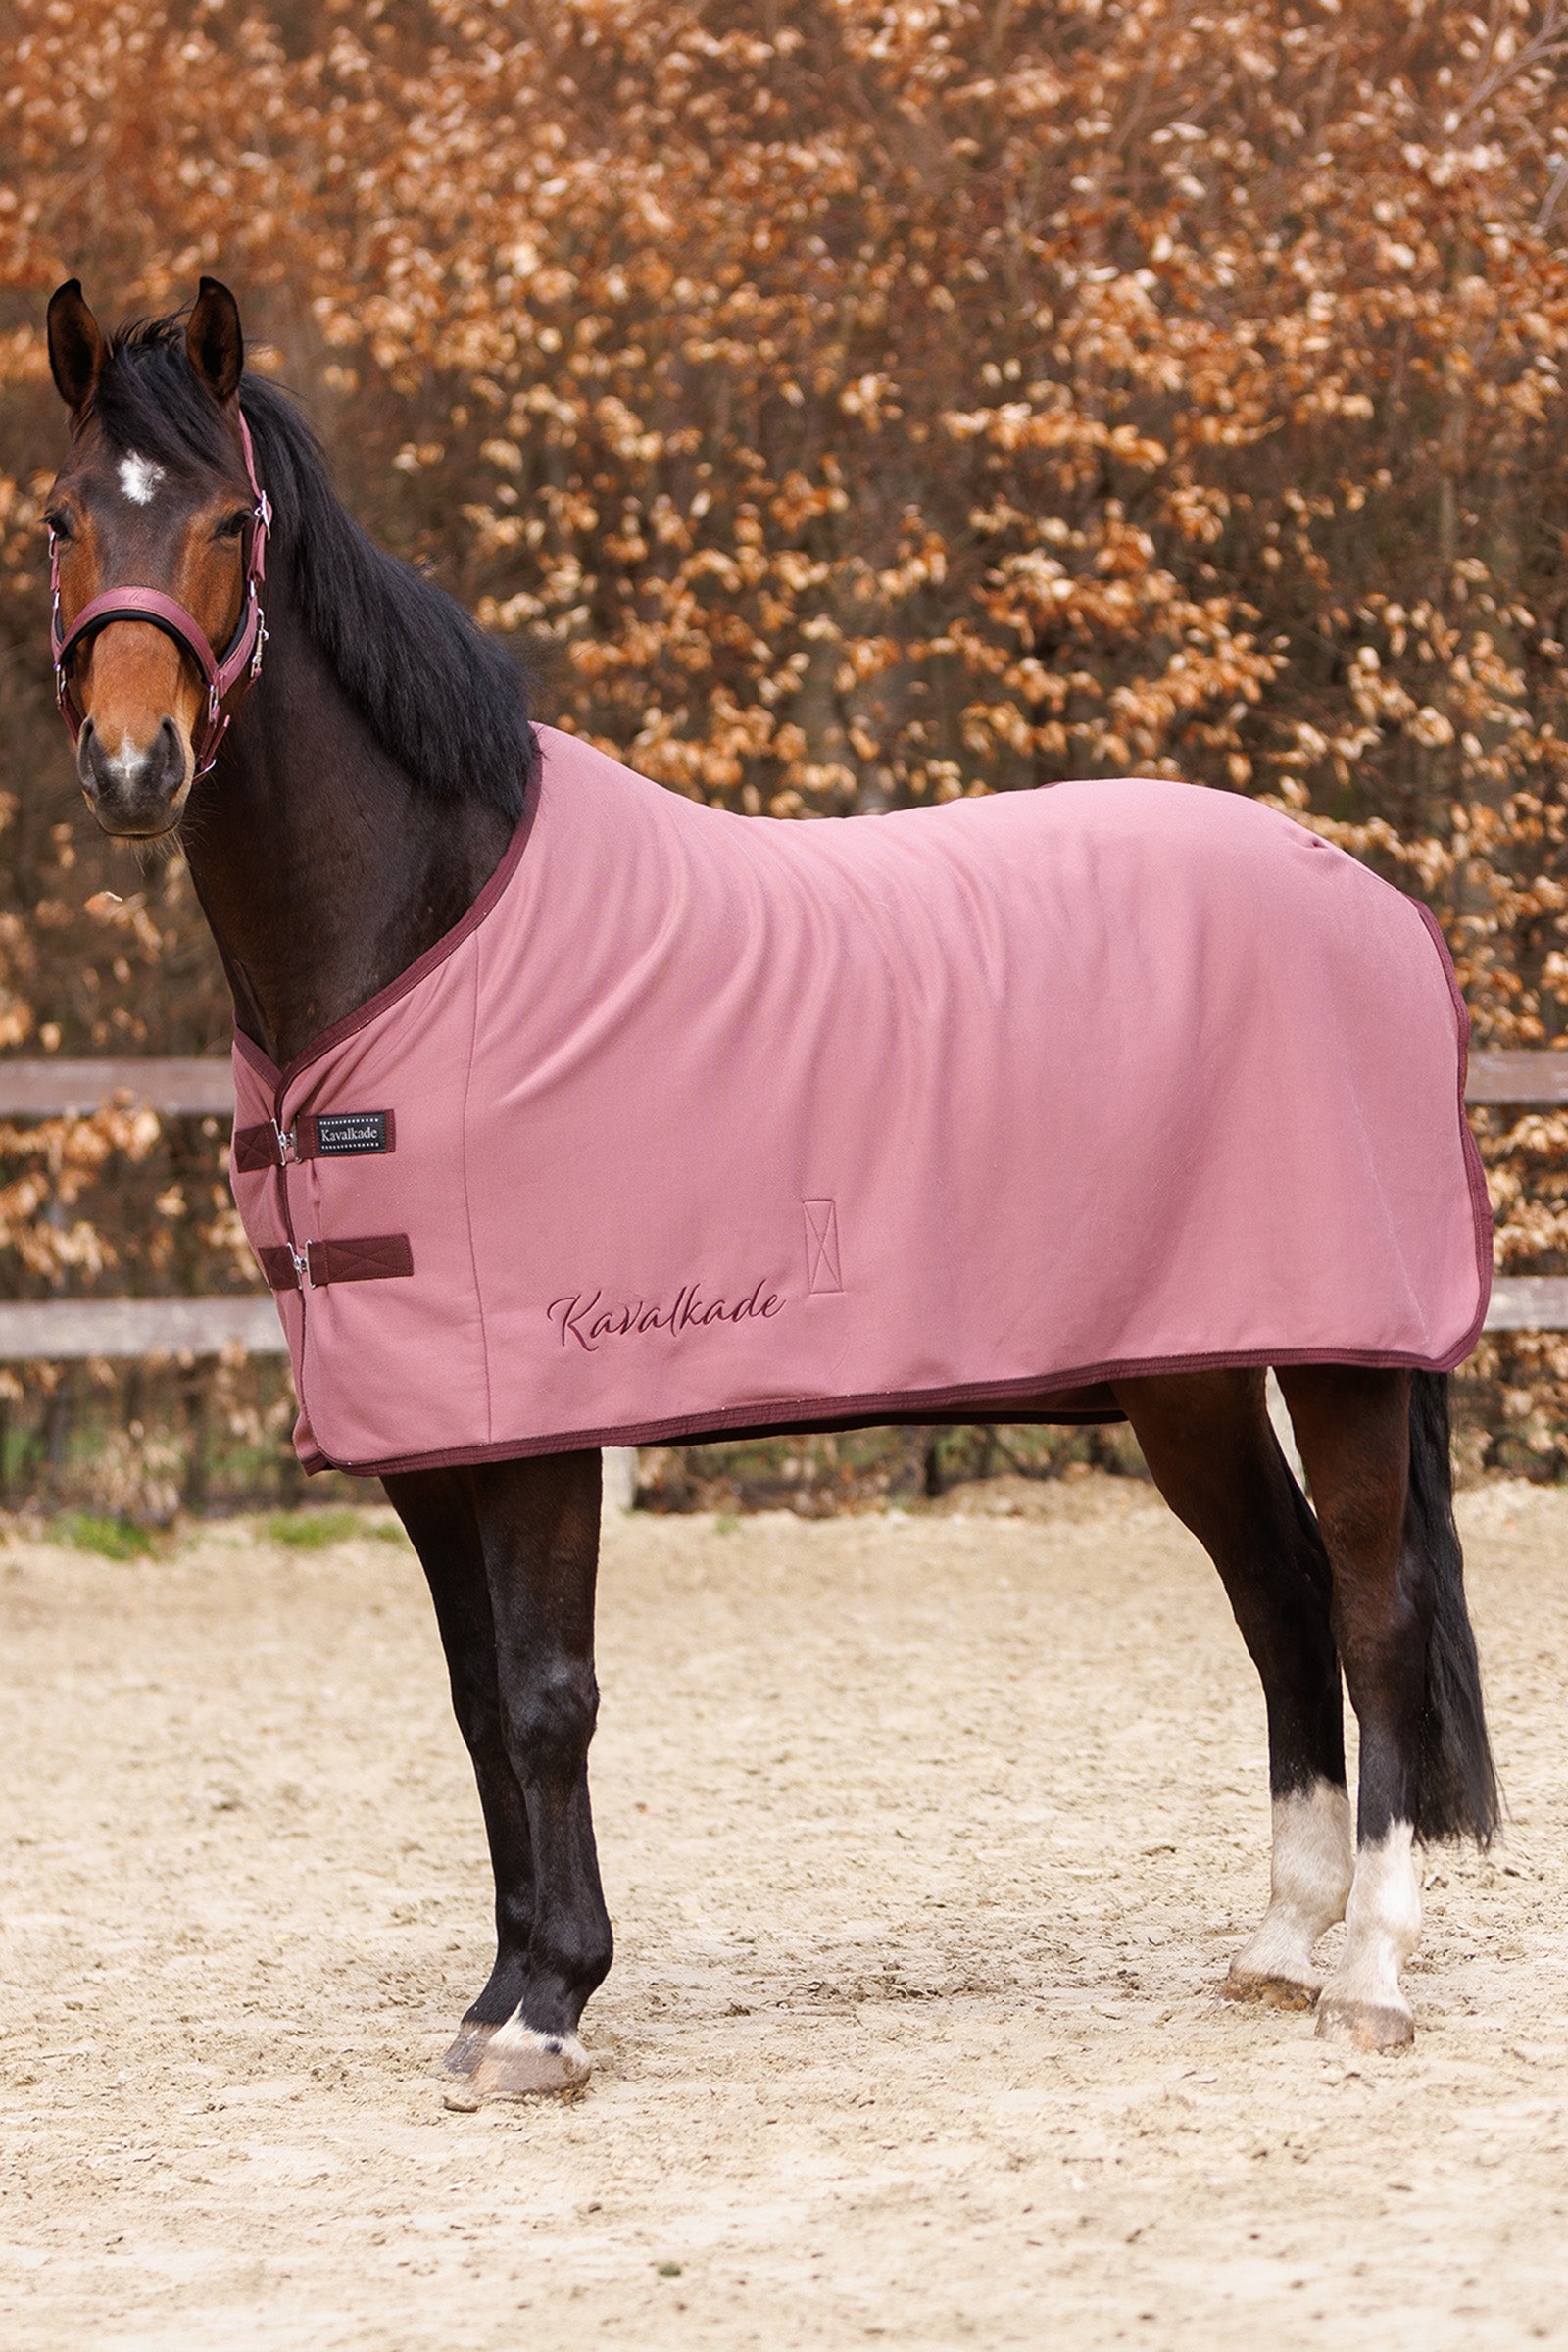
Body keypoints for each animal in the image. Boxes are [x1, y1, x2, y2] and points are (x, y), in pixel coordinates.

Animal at [39, 277, 1499, 2100]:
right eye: (60, 517)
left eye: (233, 524)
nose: (136, 765)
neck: (420, 939)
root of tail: (1373, 897)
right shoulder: (425, 1437)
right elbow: (474, 1704)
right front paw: (496, 1992)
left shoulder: (542, 1422)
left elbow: (547, 1695)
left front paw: (551, 2007)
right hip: (1191, 1376)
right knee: (1283, 1601)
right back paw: (1280, 1946)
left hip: (1346, 1355)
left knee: (1372, 1610)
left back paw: (1368, 1968)